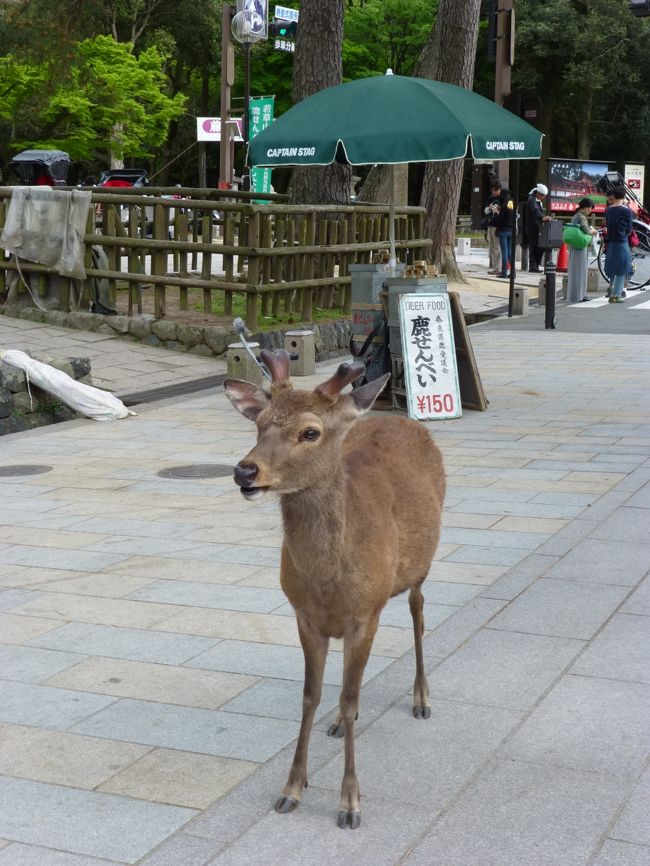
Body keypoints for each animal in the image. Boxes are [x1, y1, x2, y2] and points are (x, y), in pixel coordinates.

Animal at [224, 349, 445, 829]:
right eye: (259, 423)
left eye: (311, 431)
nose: (244, 471)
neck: (328, 583)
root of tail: (403, 419)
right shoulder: (306, 616)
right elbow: (313, 697)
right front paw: (291, 788)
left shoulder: (366, 614)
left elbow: (345, 695)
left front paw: (349, 803)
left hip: (421, 566)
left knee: (418, 612)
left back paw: (421, 697)